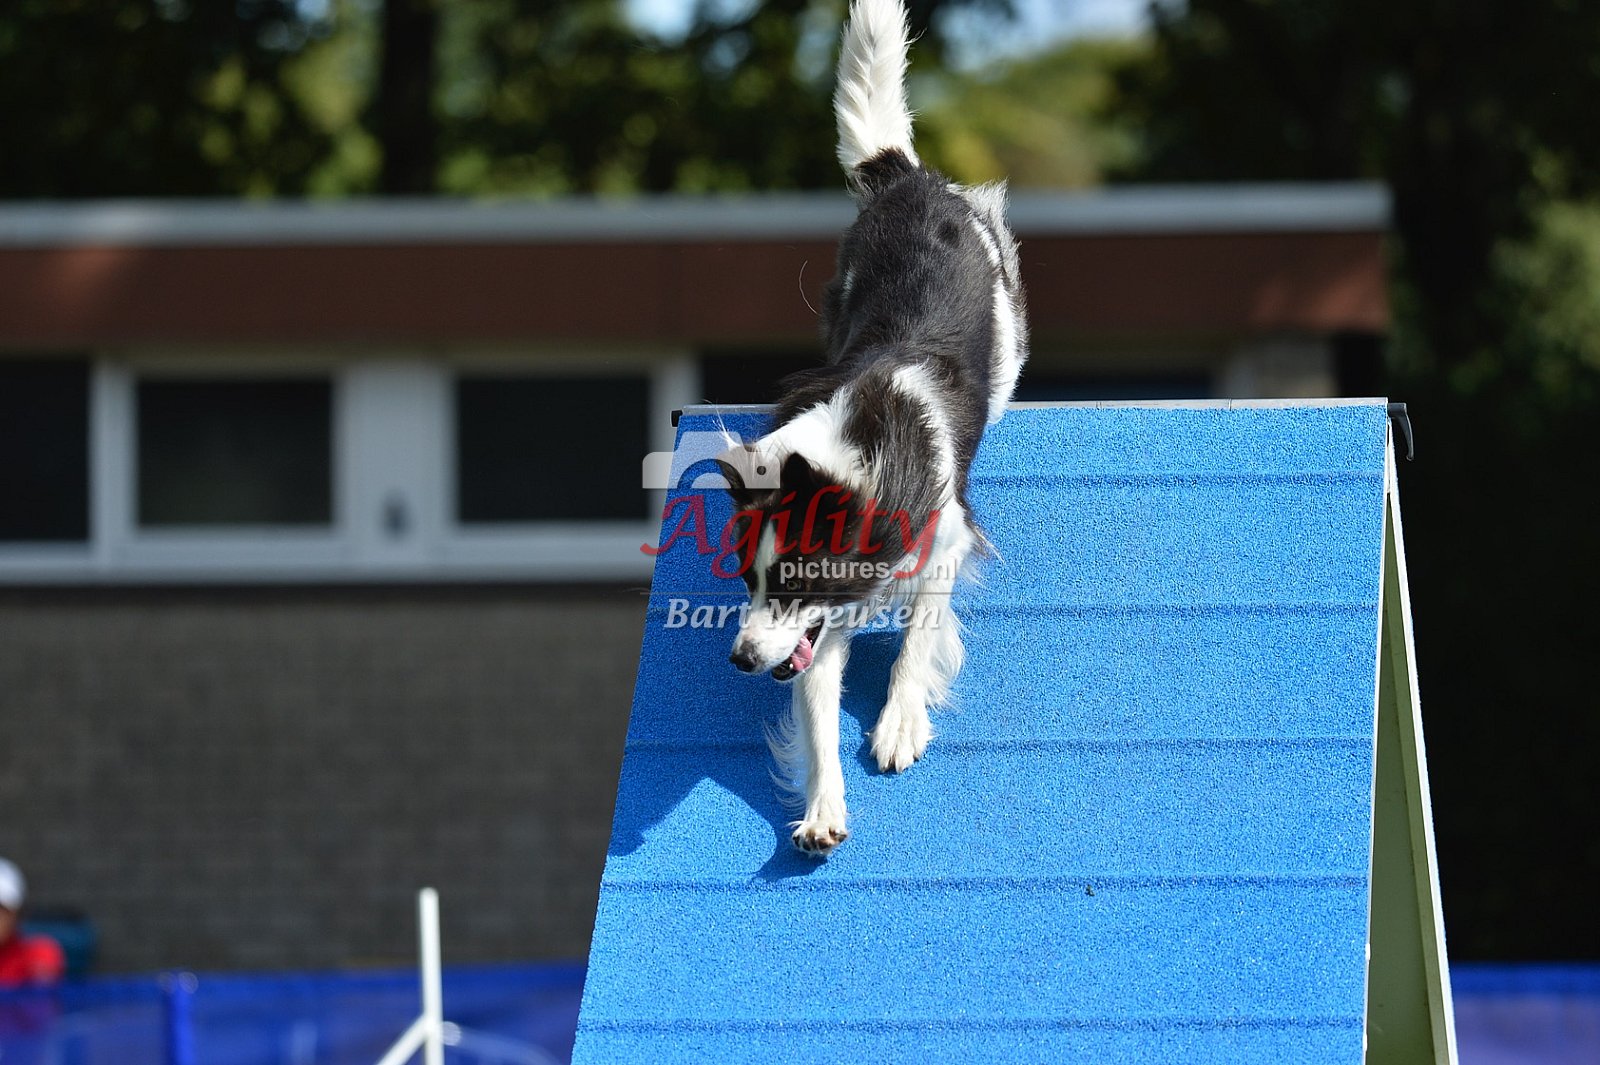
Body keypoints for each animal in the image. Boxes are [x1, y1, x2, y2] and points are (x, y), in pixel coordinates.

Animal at [719, 0, 1027, 856]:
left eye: (789, 581)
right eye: (748, 581)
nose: (741, 659)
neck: (856, 461)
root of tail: (907, 180)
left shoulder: (945, 534)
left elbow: (919, 634)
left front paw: (898, 722)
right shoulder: (821, 626)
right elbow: (816, 711)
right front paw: (823, 808)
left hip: (1008, 314)